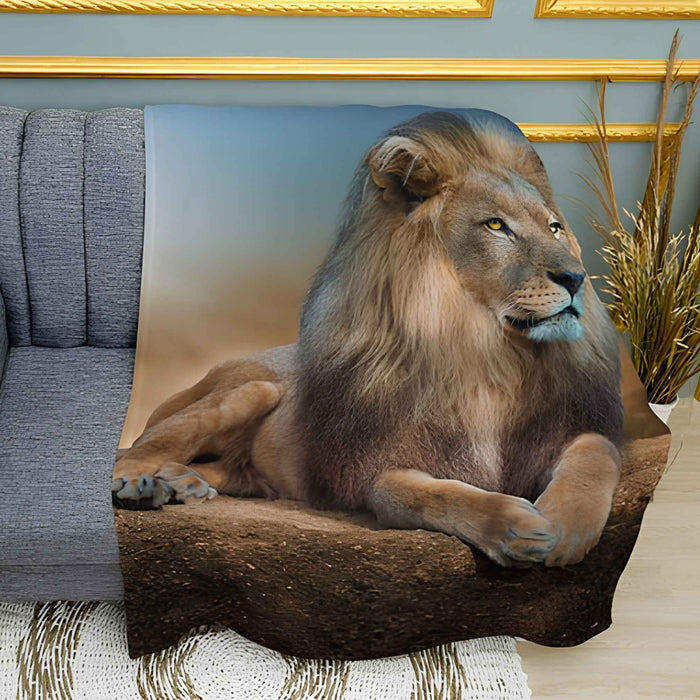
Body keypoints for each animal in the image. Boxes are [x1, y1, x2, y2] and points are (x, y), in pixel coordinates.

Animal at [113, 110, 624, 568]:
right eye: (496, 226)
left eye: (554, 226)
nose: (576, 278)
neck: (486, 353)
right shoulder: (377, 469)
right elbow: (434, 496)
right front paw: (516, 526)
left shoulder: (566, 431)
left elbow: (596, 453)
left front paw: (565, 526)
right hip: (251, 389)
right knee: (137, 451)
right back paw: (141, 485)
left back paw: (181, 483)